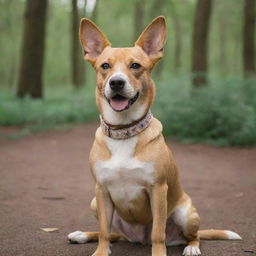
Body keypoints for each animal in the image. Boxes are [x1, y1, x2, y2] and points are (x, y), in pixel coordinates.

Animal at [67, 16, 241, 256]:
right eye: (105, 66)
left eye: (135, 66)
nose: (116, 82)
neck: (124, 130)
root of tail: (138, 239)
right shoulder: (101, 190)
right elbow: (103, 230)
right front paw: (101, 251)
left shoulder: (158, 190)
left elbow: (158, 232)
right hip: (96, 203)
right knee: (113, 234)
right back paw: (82, 235)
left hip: (186, 214)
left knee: (193, 236)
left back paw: (191, 248)